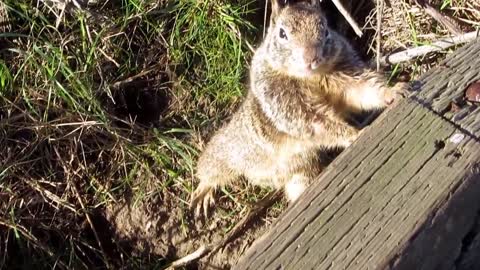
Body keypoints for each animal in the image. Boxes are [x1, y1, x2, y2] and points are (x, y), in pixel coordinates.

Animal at [189, 0, 404, 216]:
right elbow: (317, 124)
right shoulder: (285, 103)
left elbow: (362, 91)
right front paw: (354, 134)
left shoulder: (344, 73)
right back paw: (203, 191)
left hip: (300, 175)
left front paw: (392, 92)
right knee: (211, 170)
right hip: (228, 151)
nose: (311, 57)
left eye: (326, 29)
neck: (310, 78)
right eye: (282, 33)